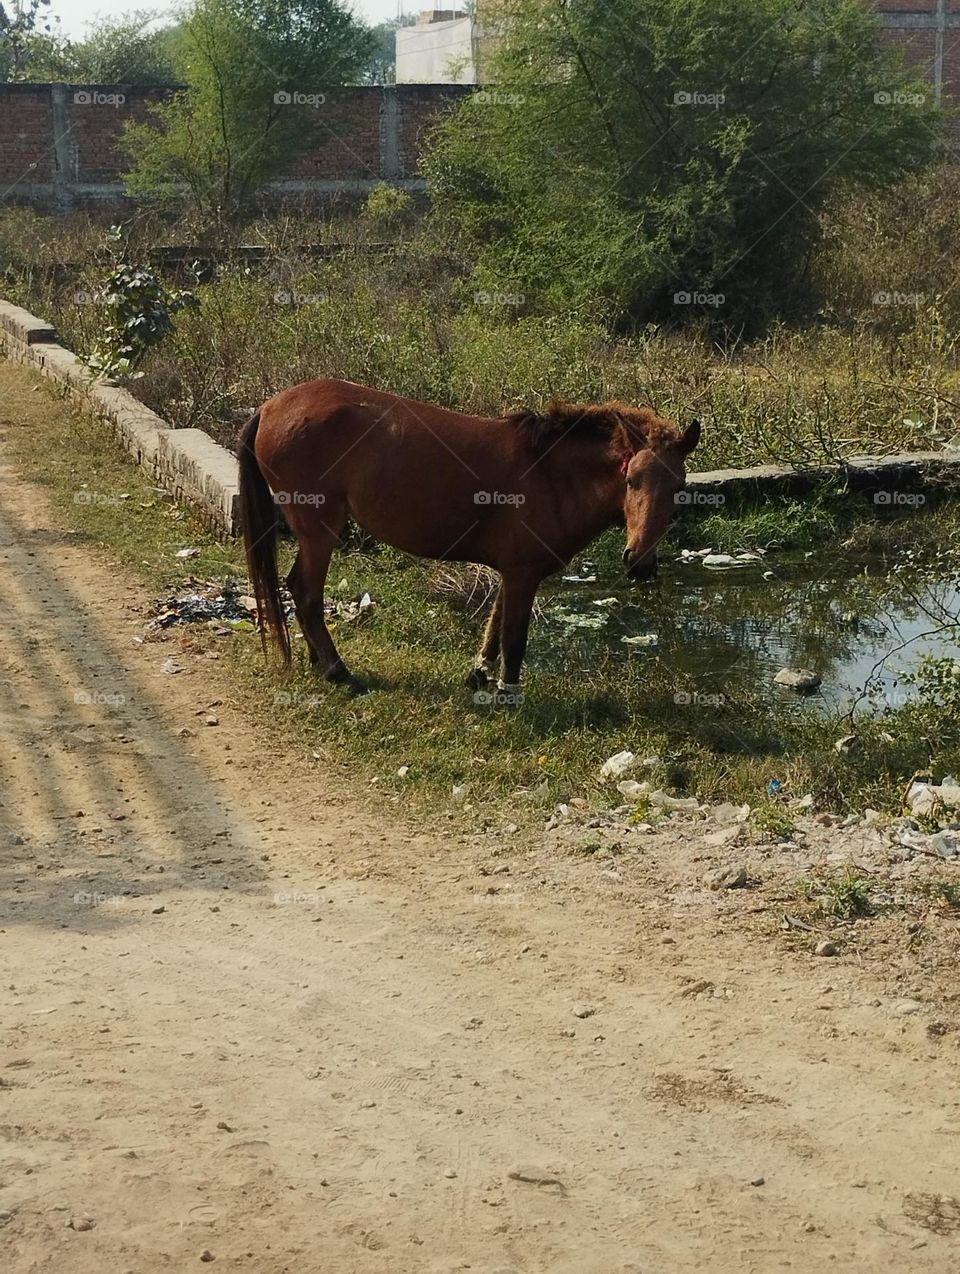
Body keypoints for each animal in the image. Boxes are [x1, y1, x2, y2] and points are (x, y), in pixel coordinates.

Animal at [237, 378, 700, 702]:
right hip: (320, 530)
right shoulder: (523, 573)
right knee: (305, 592)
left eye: (679, 487)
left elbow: (494, 626)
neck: (550, 473)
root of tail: (270, 407)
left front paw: (479, 675)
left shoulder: (512, 571)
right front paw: (508, 694)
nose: (640, 561)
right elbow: (514, 639)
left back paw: (320, 661)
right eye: (632, 479)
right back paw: (337, 669)